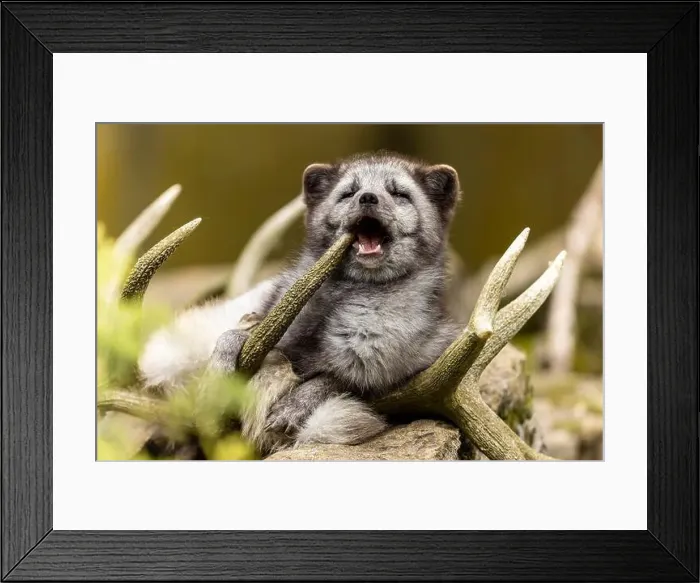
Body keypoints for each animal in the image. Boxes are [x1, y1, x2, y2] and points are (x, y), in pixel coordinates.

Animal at [137, 150, 464, 454]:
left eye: (399, 194)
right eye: (349, 193)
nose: (368, 198)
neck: (344, 293)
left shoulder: (410, 364)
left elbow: (334, 378)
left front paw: (292, 407)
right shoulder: (274, 333)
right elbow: (232, 335)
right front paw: (217, 375)